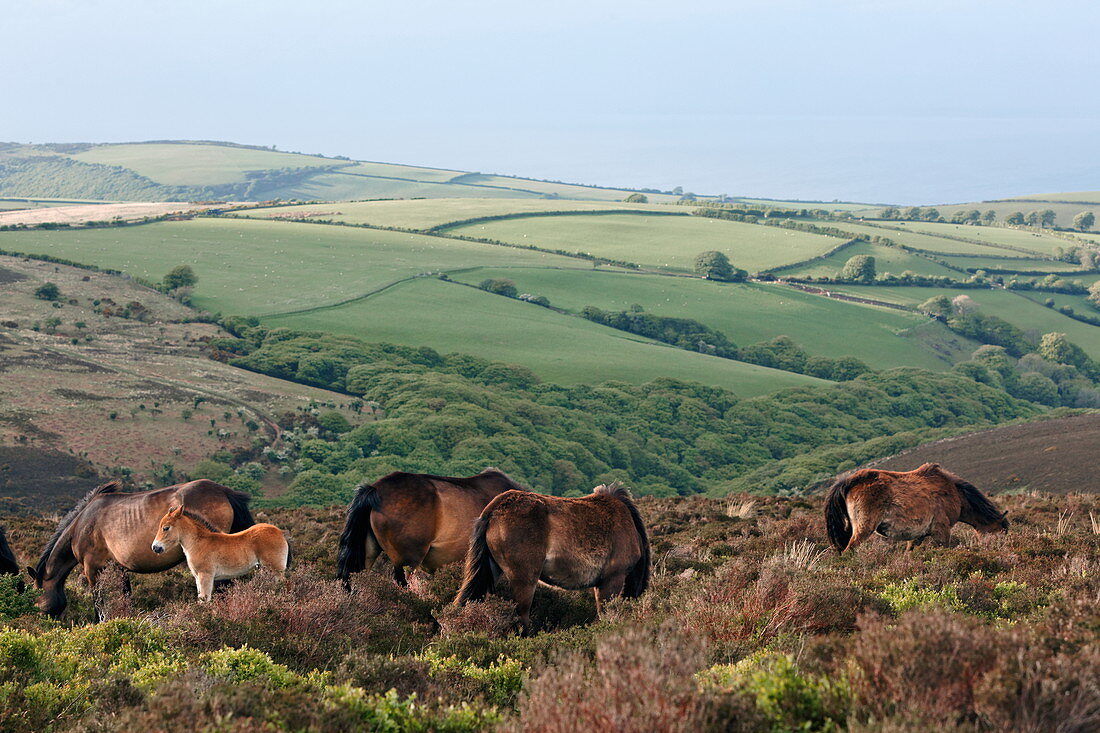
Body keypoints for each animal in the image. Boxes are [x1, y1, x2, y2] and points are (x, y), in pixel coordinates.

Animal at [30, 477, 255, 611]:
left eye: (37, 601)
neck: (83, 524)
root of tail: (224, 492)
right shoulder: (120, 569)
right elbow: (126, 598)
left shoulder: (92, 569)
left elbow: (98, 603)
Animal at [150, 501, 290, 598]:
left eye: (166, 528)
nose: (155, 547)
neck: (198, 543)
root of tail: (280, 532)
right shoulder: (197, 578)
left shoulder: (205, 575)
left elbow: (204, 600)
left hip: (276, 569)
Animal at [822, 460, 1007, 550]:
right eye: (1000, 532)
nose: (999, 550)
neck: (955, 492)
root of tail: (849, 481)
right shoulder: (942, 530)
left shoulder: (918, 536)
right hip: (863, 529)